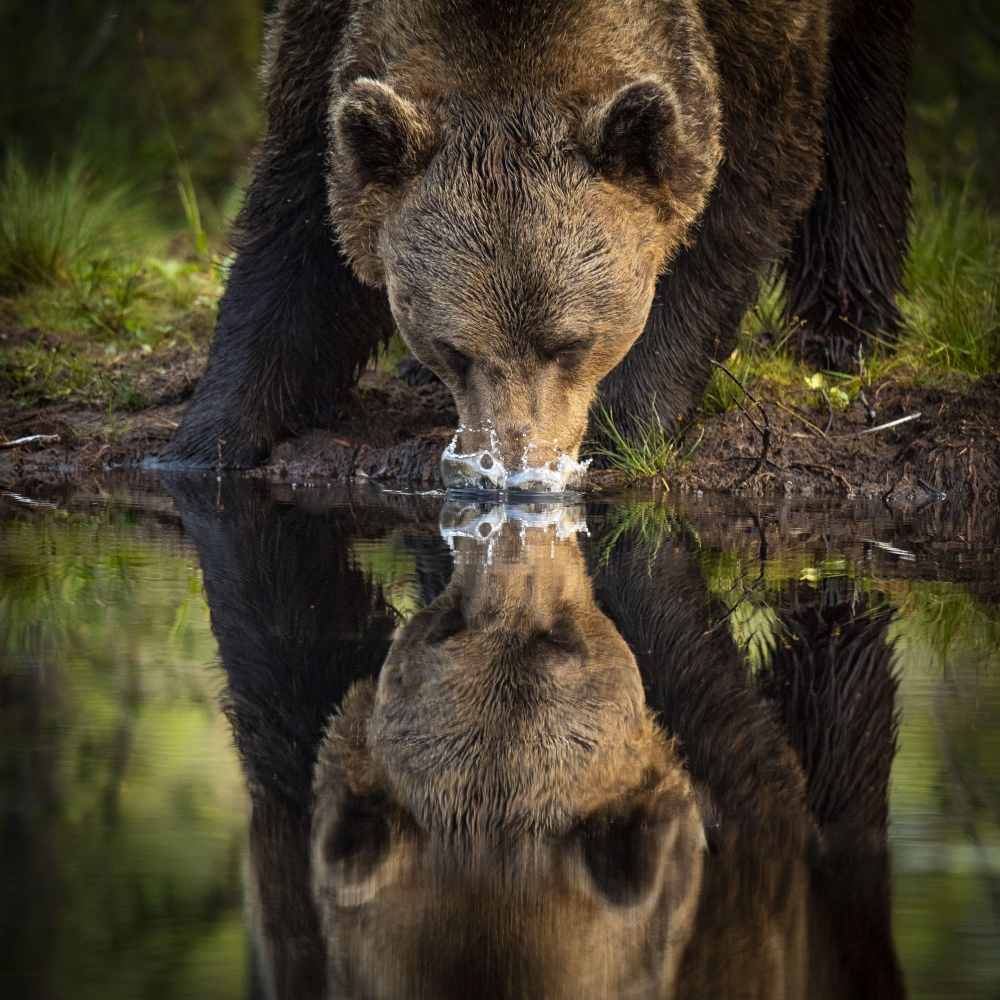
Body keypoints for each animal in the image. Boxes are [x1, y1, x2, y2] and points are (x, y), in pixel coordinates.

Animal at [162, 0, 913, 480]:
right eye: (453, 349)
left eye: (572, 343)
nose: (518, 462)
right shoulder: (325, 37)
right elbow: (298, 220)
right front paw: (210, 436)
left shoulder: (754, 42)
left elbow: (751, 174)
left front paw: (626, 425)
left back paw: (847, 329)